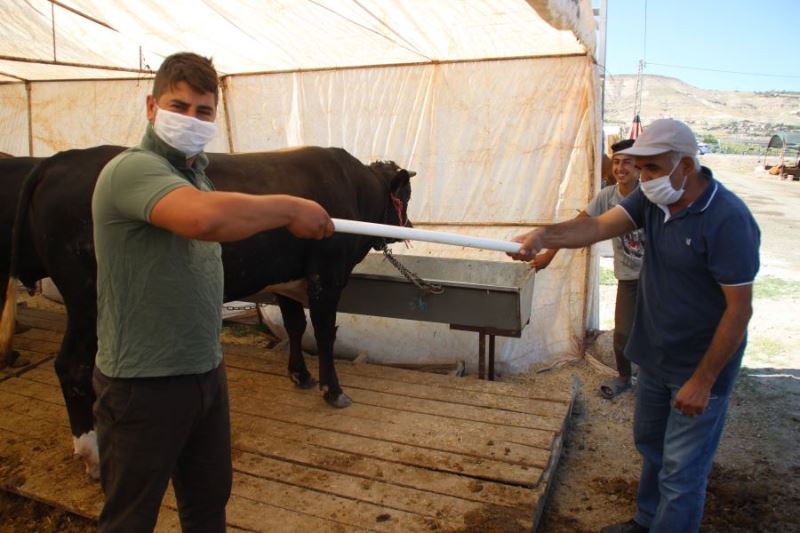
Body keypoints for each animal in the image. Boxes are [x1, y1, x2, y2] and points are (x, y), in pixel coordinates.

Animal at [0, 143, 412, 476]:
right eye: (405, 196)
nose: (407, 225)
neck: (353, 186)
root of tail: (61, 159)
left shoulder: (287, 279)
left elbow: (296, 326)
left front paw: (300, 375)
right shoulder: (326, 274)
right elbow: (325, 334)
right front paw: (333, 389)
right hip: (88, 300)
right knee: (71, 366)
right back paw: (92, 454)